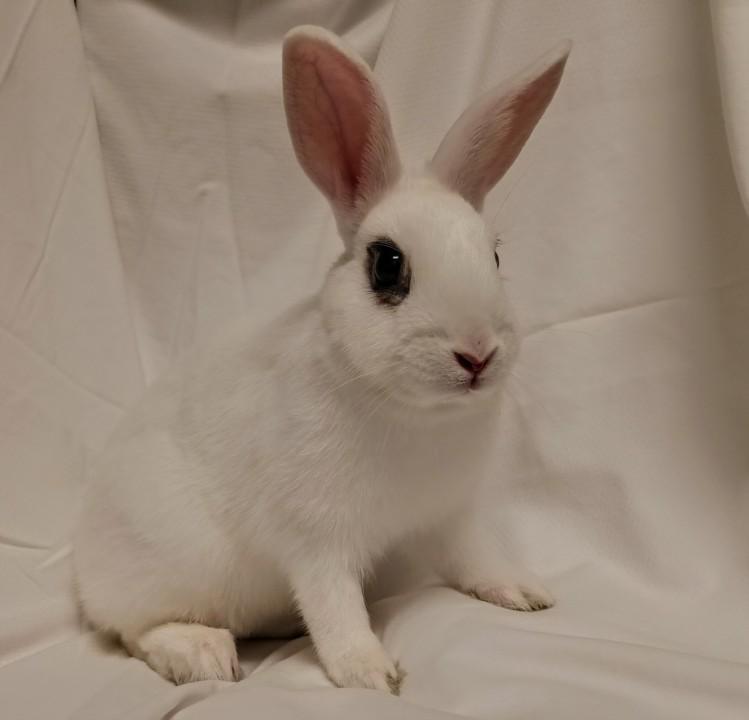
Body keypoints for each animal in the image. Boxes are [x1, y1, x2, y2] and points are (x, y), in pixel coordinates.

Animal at [73, 25, 570, 693]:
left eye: (494, 255)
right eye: (387, 264)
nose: (478, 354)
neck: (416, 415)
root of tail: (82, 566)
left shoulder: (453, 515)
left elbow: (476, 557)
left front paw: (524, 592)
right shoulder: (316, 537)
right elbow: (334, 603)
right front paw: (369, 672)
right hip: (171, 557)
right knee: (132, 629)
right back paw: (201, 651)